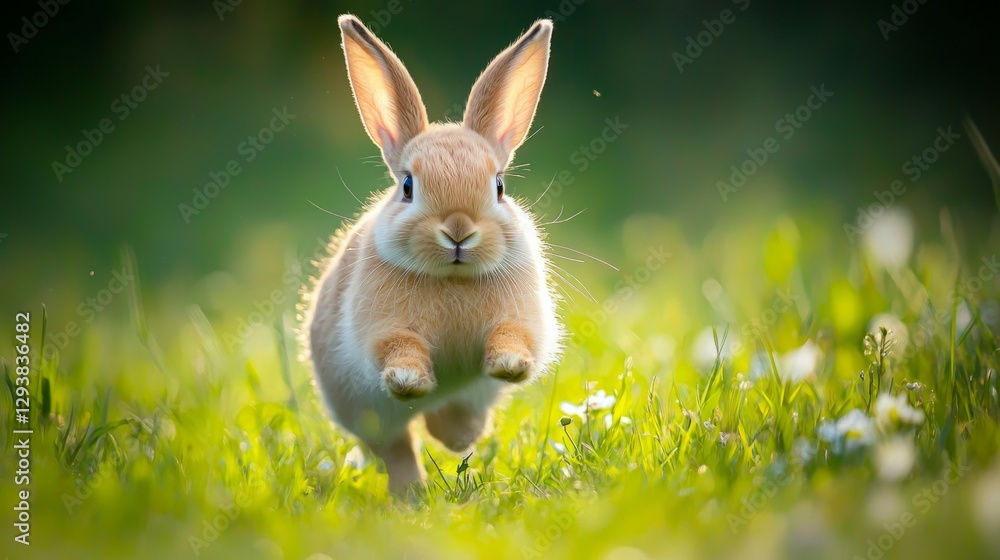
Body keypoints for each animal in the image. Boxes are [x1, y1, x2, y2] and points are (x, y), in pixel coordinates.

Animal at [301, 14, 563, 495]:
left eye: (499, 186)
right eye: (407, 186)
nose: (458, 230)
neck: (452, 278)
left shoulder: (521, 318)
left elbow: (513, 336)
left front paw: (510, 364)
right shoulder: (382, 330)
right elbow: (399, 347)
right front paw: (409, 379)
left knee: (457, 426)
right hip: (369, 417)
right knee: (399, 447)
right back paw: (412, 494)